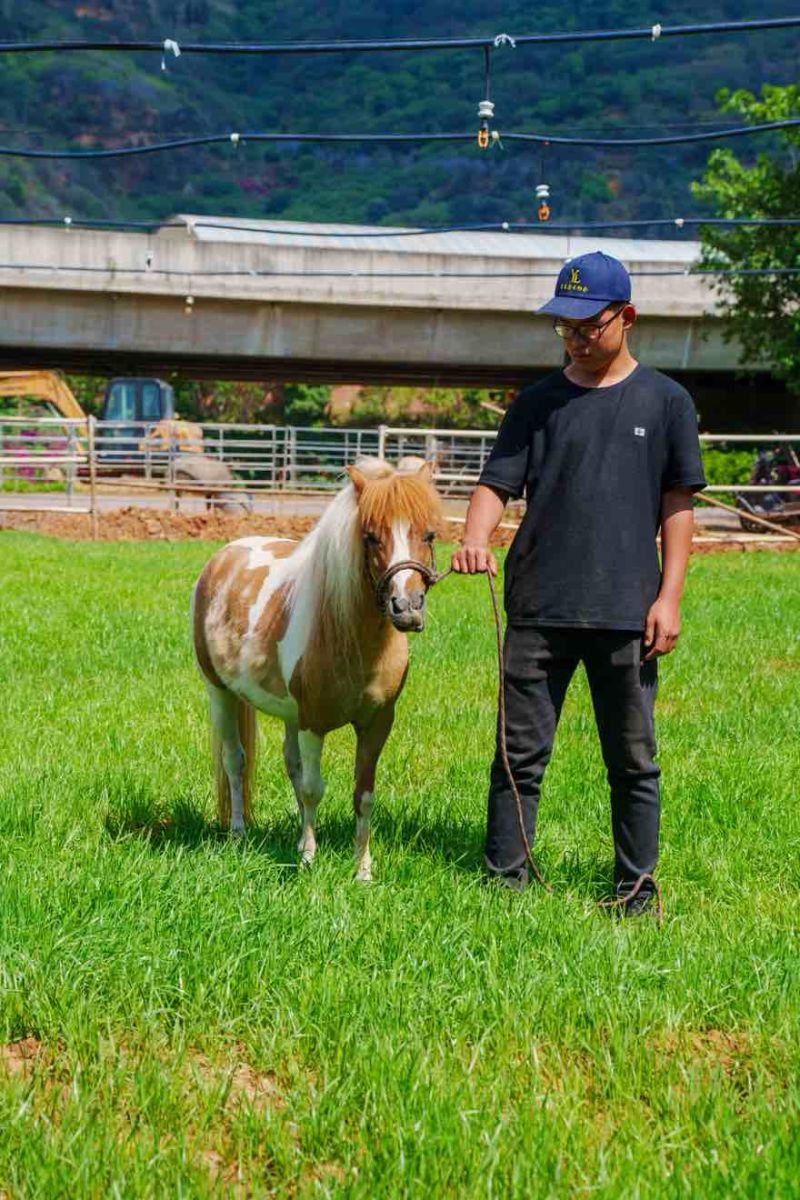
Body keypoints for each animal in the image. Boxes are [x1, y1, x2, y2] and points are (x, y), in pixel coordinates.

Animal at [191, 458, 442, 880]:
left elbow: (363, 794)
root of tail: (225, 555)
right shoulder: (313, 722)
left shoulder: (377, 723)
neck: (352, 640)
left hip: (289, 713)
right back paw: (238, 834)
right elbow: (313, 788)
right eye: (370, 537)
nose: (406, 607)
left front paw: (362, 870)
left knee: (290, 765)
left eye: (429, 534)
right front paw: (308, 860)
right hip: (220, 693)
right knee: (235, 761)